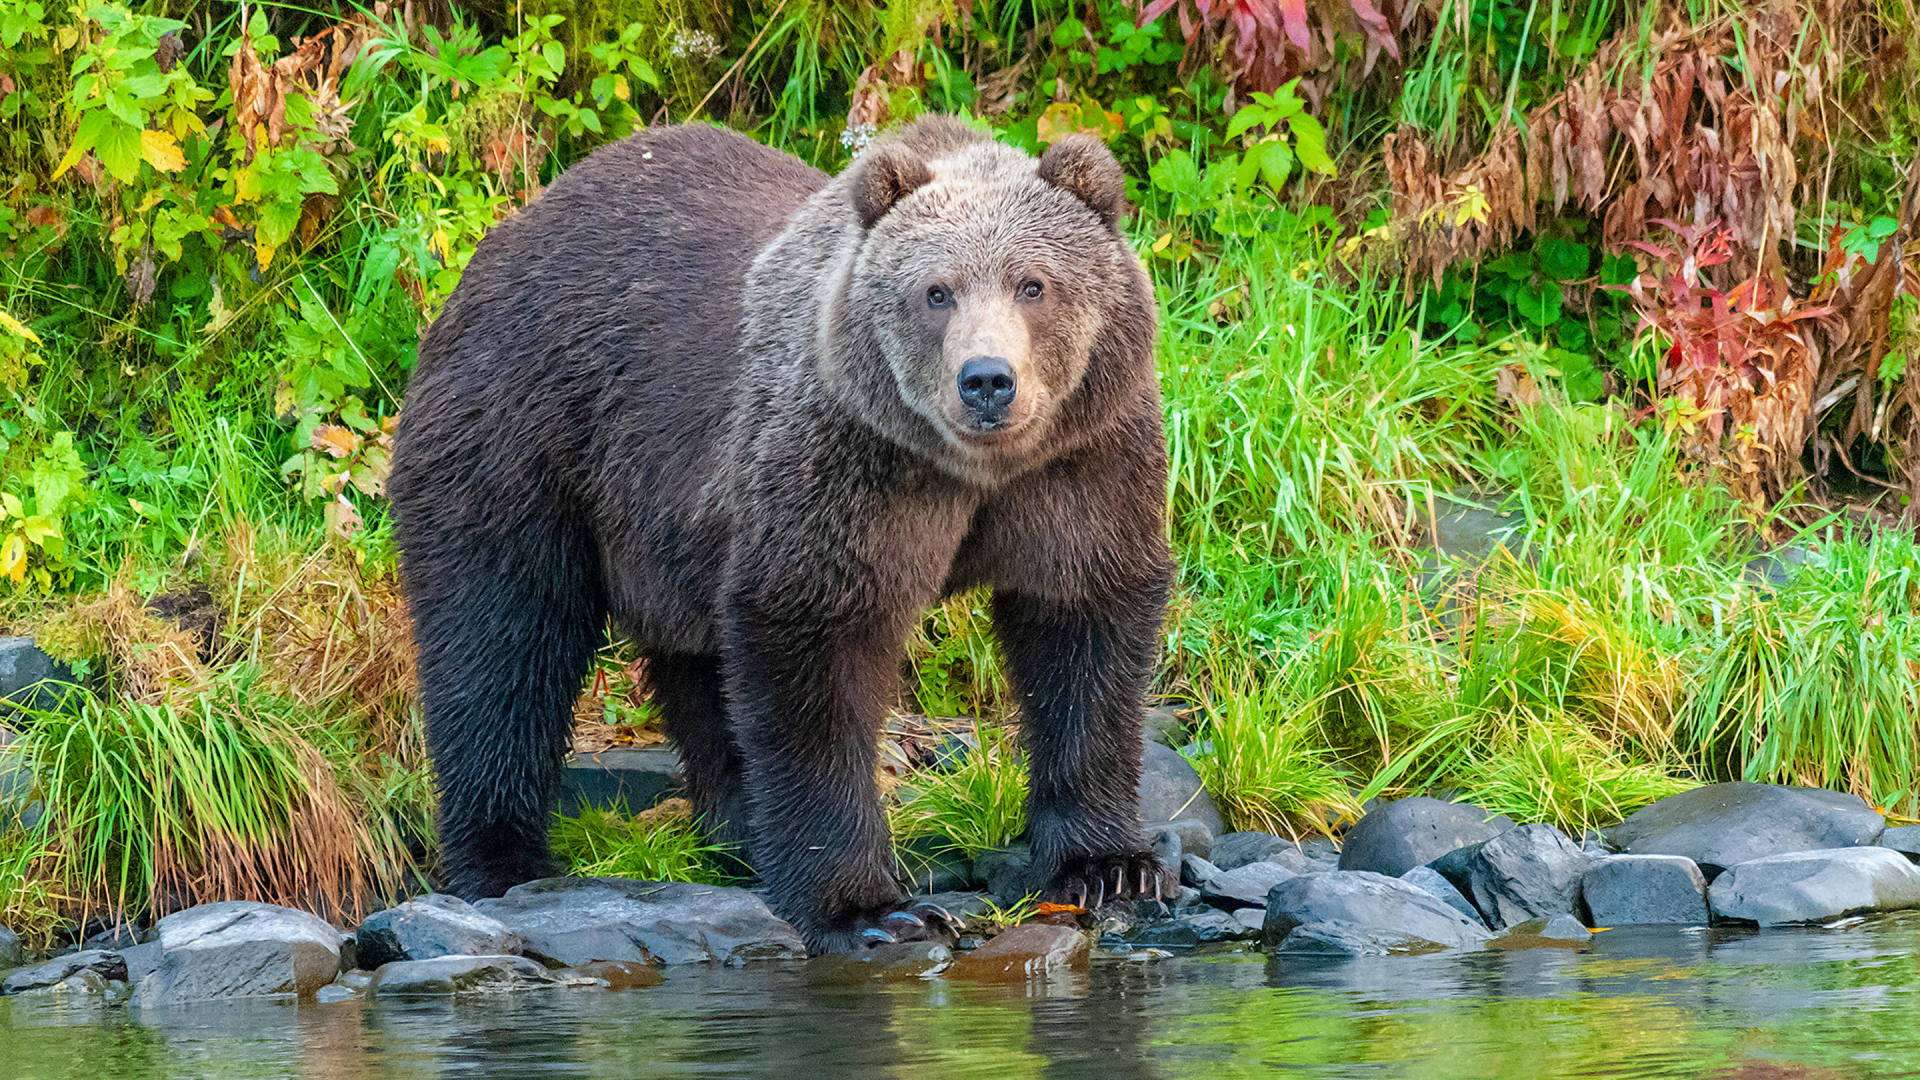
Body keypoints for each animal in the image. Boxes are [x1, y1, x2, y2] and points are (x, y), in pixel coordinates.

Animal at [389, 113, 1167, 945]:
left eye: (1033, 284)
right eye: (936, 292)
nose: (987, 381)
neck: (971, 469)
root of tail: (499, 246)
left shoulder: (1081, 460)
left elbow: (1083, 627)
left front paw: (1108, 865)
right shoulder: (847, 460)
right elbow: (813, 643)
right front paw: (869, 908)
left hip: (673, 522)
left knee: (697, 669)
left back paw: (734, 833)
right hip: (522, 440)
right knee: (502, 641)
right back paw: (504, 862)